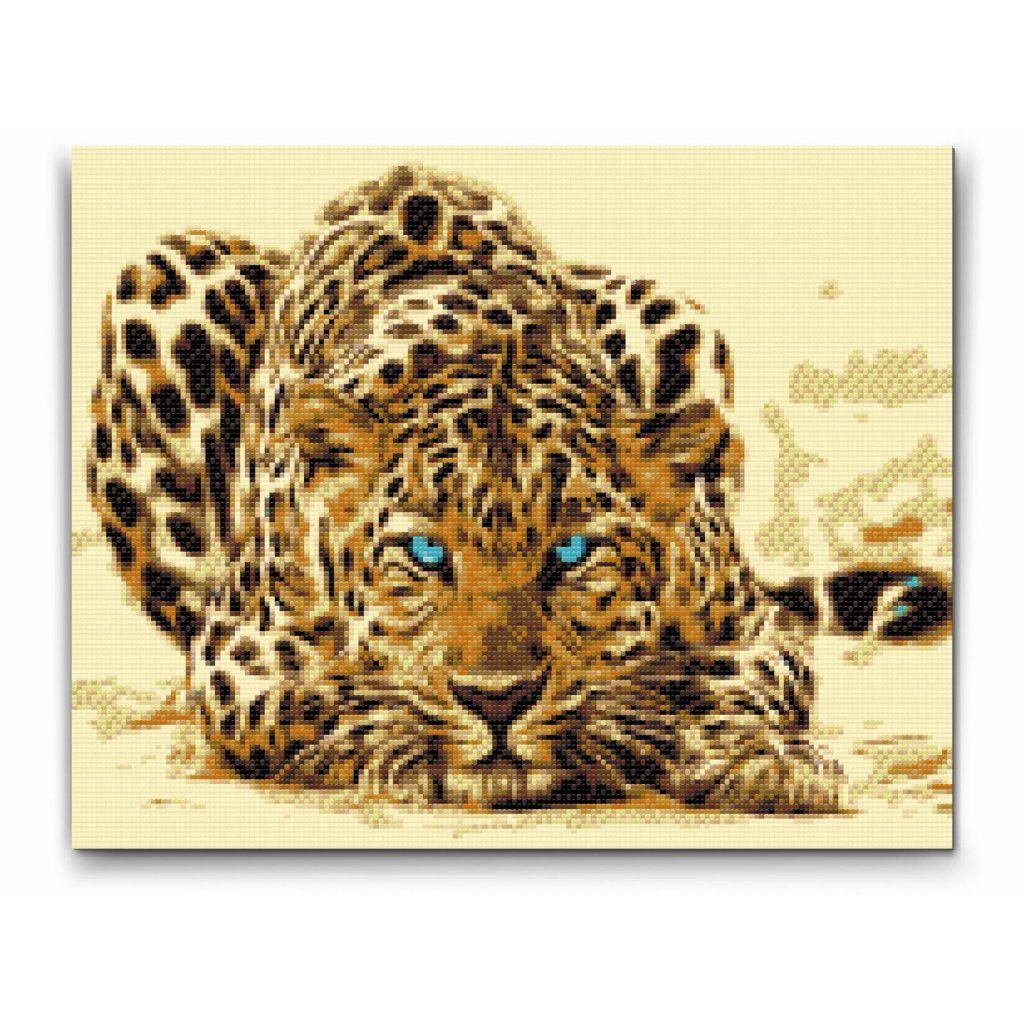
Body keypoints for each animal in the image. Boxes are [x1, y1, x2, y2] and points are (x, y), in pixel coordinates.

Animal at [87, 165, 951, 811]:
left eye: (571, 552)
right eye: (424, 551)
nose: (497, 700)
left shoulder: (753, 624)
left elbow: (737, 681)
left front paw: (763, 757)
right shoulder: (237, 658)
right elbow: (323, 700)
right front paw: (416, 745)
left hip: (674, 313)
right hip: (159, 280)